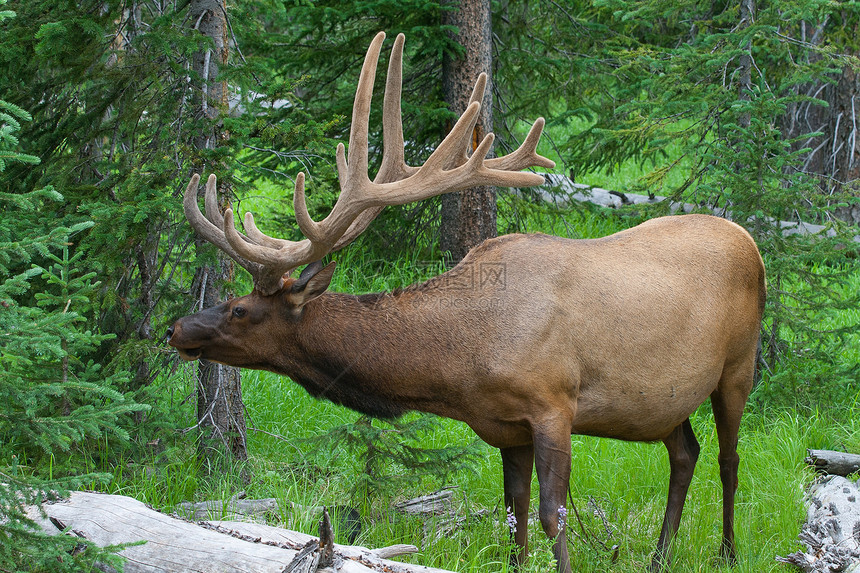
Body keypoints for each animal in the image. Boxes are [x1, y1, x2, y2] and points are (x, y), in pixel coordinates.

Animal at [166, 32, 764, 572]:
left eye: (240, 309)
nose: (176, 328)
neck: (459, 363)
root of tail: (749, 239)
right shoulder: (504, 426)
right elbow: (514, 514)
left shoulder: (554, 403)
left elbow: (552, 515)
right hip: (665, 400)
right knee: (684, 453)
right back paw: (661, 556)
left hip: (738, 366)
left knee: (730, 458)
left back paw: (729, 552)